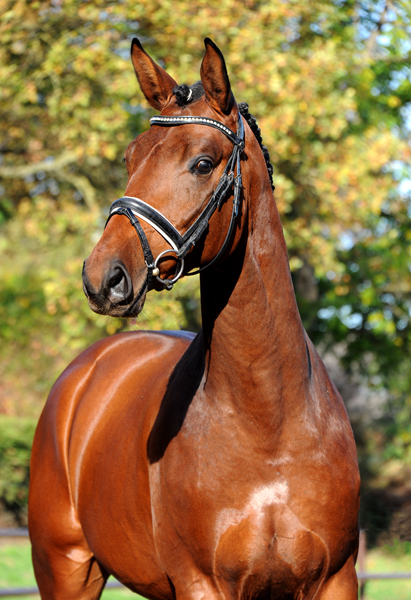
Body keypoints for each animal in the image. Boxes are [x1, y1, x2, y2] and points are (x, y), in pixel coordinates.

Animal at [29, 38, 360, 600]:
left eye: (203, 163)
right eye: (131, 156)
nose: (103, 278)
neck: (269, 424)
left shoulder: (336, 581)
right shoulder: (202, 583)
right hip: (65, 568)